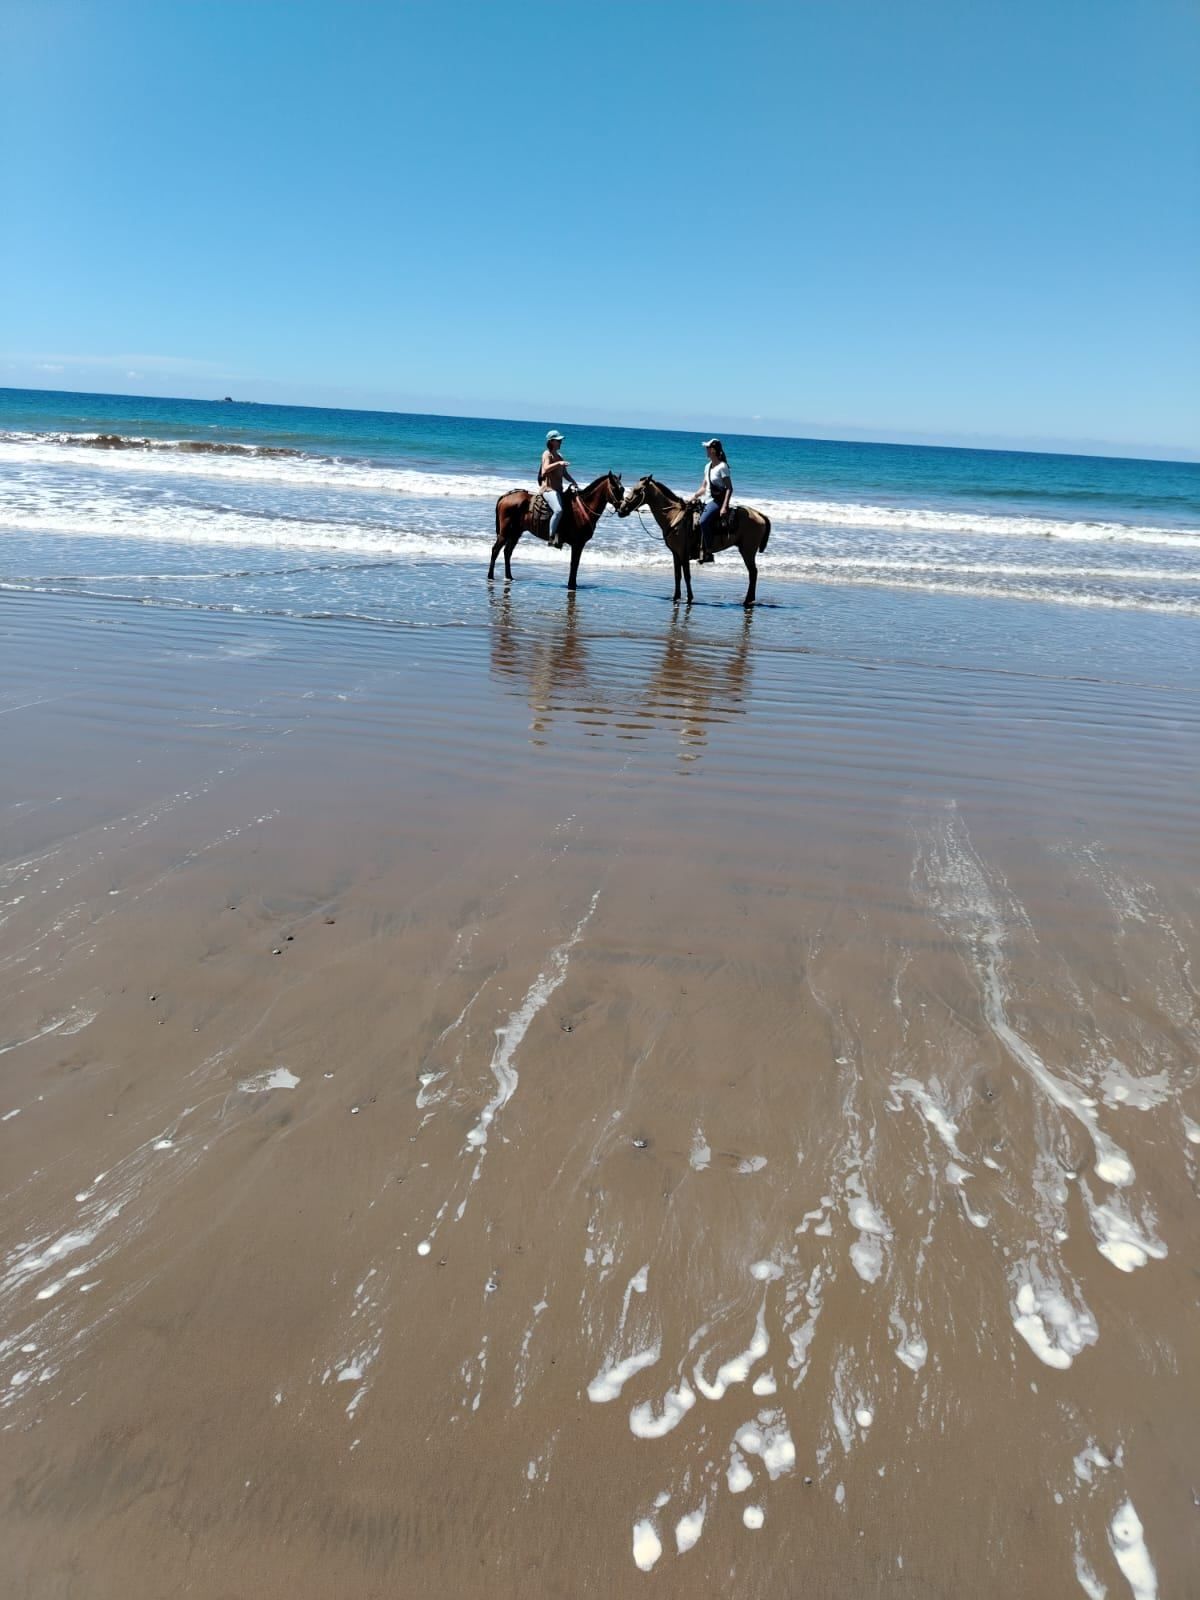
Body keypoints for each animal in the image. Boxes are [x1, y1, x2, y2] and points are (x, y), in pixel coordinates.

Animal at [488, 472, 624, 590]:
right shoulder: (578, 544)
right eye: (614, 488)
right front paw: (571, 586)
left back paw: (509, 577)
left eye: (622, 489)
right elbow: (574, 564)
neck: (584, 508)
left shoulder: (579, 545)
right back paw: (490, 576)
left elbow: (575, 564)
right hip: (505, 533)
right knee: (495, 550)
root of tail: (505, 496)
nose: (623, 508)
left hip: (516, 533)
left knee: (507, 552)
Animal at [617, 476, 770, 607]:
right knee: (753, 573)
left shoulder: (683, 554)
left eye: (637, 491)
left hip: (747, 551)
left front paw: (689, 598)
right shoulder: (675, 554)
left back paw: (748, 600)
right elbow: (677, 575)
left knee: (753, 573)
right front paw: (676, 597)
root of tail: (759, 514)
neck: (674, 516)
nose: (621, 509)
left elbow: (687, 576)